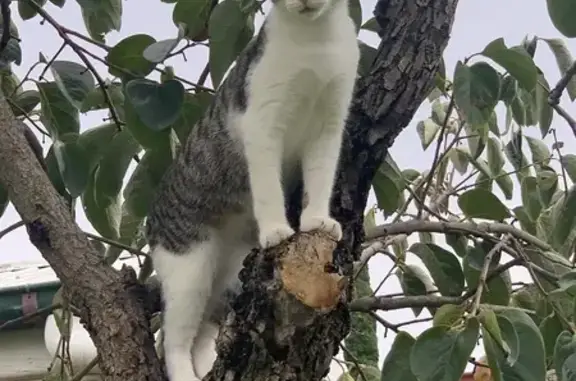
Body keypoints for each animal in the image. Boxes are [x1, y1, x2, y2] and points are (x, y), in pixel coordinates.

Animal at [144, 0, 358, 376]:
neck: (314, 41)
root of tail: (152, 217)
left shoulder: (329, 125)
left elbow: (320, 177)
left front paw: (317, 220)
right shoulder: (262, 123)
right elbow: (268, 186)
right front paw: (275, 229)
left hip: (225, 277)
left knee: (200, 333)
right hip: (190, 266)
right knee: (173, 339)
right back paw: (185, 373)